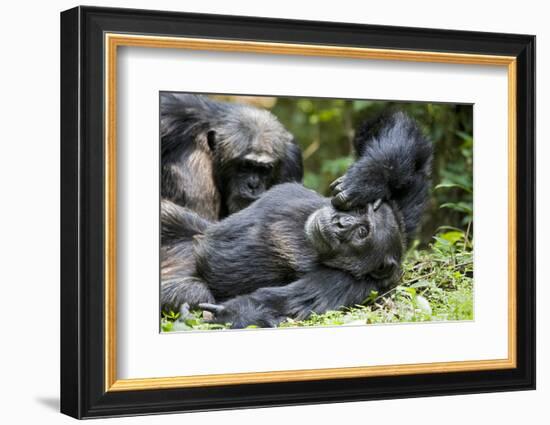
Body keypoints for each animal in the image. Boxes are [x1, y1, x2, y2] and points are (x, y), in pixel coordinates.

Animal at [161, 110, 436, 328]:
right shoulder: (400, 212)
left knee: (196, 291)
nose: (341, 224)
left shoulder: (352, 286)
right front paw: (368, 178)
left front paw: (233, 314)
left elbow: (289, 304)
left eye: (362, 233)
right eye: (359, 213)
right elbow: (399, 139)